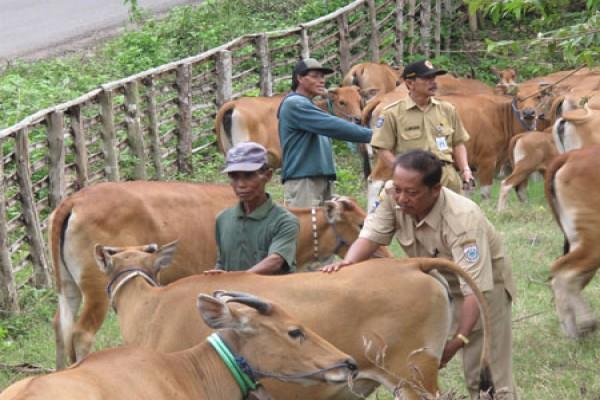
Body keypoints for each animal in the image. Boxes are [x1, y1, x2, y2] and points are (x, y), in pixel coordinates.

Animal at [48, 183, 384, 370]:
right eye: (360, 222)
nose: (383, 252)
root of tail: (73, 200)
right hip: (96, 290)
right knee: (81, 333)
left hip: (68, 289)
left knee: (61, 326)